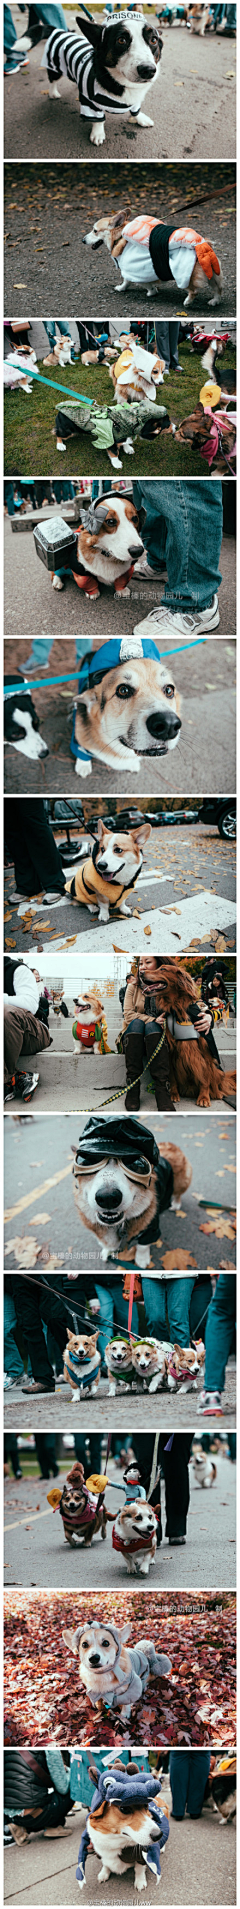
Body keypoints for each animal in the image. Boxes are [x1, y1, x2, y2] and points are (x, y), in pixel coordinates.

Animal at [41, 13, 161, 145]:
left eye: (154, 40)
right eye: (121, 40)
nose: (148, 70)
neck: (120, 82)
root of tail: (60, 32)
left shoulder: (136, 100)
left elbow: (136, 110)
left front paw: (141, 118)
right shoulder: (90, 104)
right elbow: (99, 120)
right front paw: (98, 134)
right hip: (55, 67)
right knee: (52, 81)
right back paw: (53, 93)